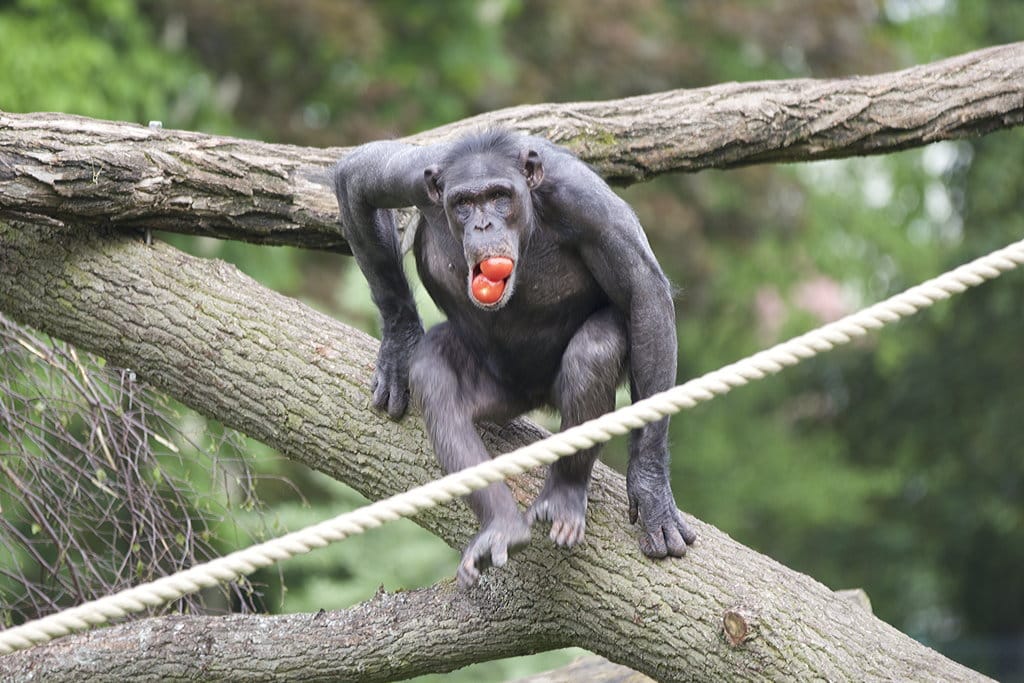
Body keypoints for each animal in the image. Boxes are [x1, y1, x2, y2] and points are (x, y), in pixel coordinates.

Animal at [335, 129, 696, 589]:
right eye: (464, 202)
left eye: (499, 196)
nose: (483, 224)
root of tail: (534, 398)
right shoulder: (412, 176)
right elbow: (357, 181)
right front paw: (399, 344)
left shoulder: (589, 205)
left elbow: (644, 294)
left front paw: (650, 487)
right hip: (498, 392)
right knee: (435, 376)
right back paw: (501, 524)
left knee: (594, 350)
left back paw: (564, 494)